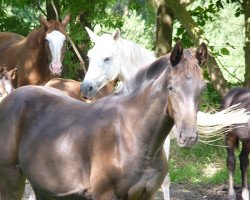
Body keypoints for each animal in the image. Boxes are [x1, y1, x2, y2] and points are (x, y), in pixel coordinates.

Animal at [0, 42, 207, 198]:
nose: (188, 137)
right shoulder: (105, 195)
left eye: (203, 88)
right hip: (11, 179)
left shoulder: (145, 195)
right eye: (171, 87)